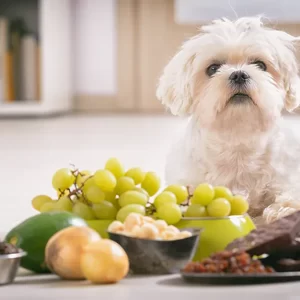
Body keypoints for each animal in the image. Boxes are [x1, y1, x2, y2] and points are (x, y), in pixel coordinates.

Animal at [156, 15, 300, 223]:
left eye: (260, 65)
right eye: (213, 68)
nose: (239, 74)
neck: (237, 139)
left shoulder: (284, 178)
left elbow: (286, 196)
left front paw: (283, 209)